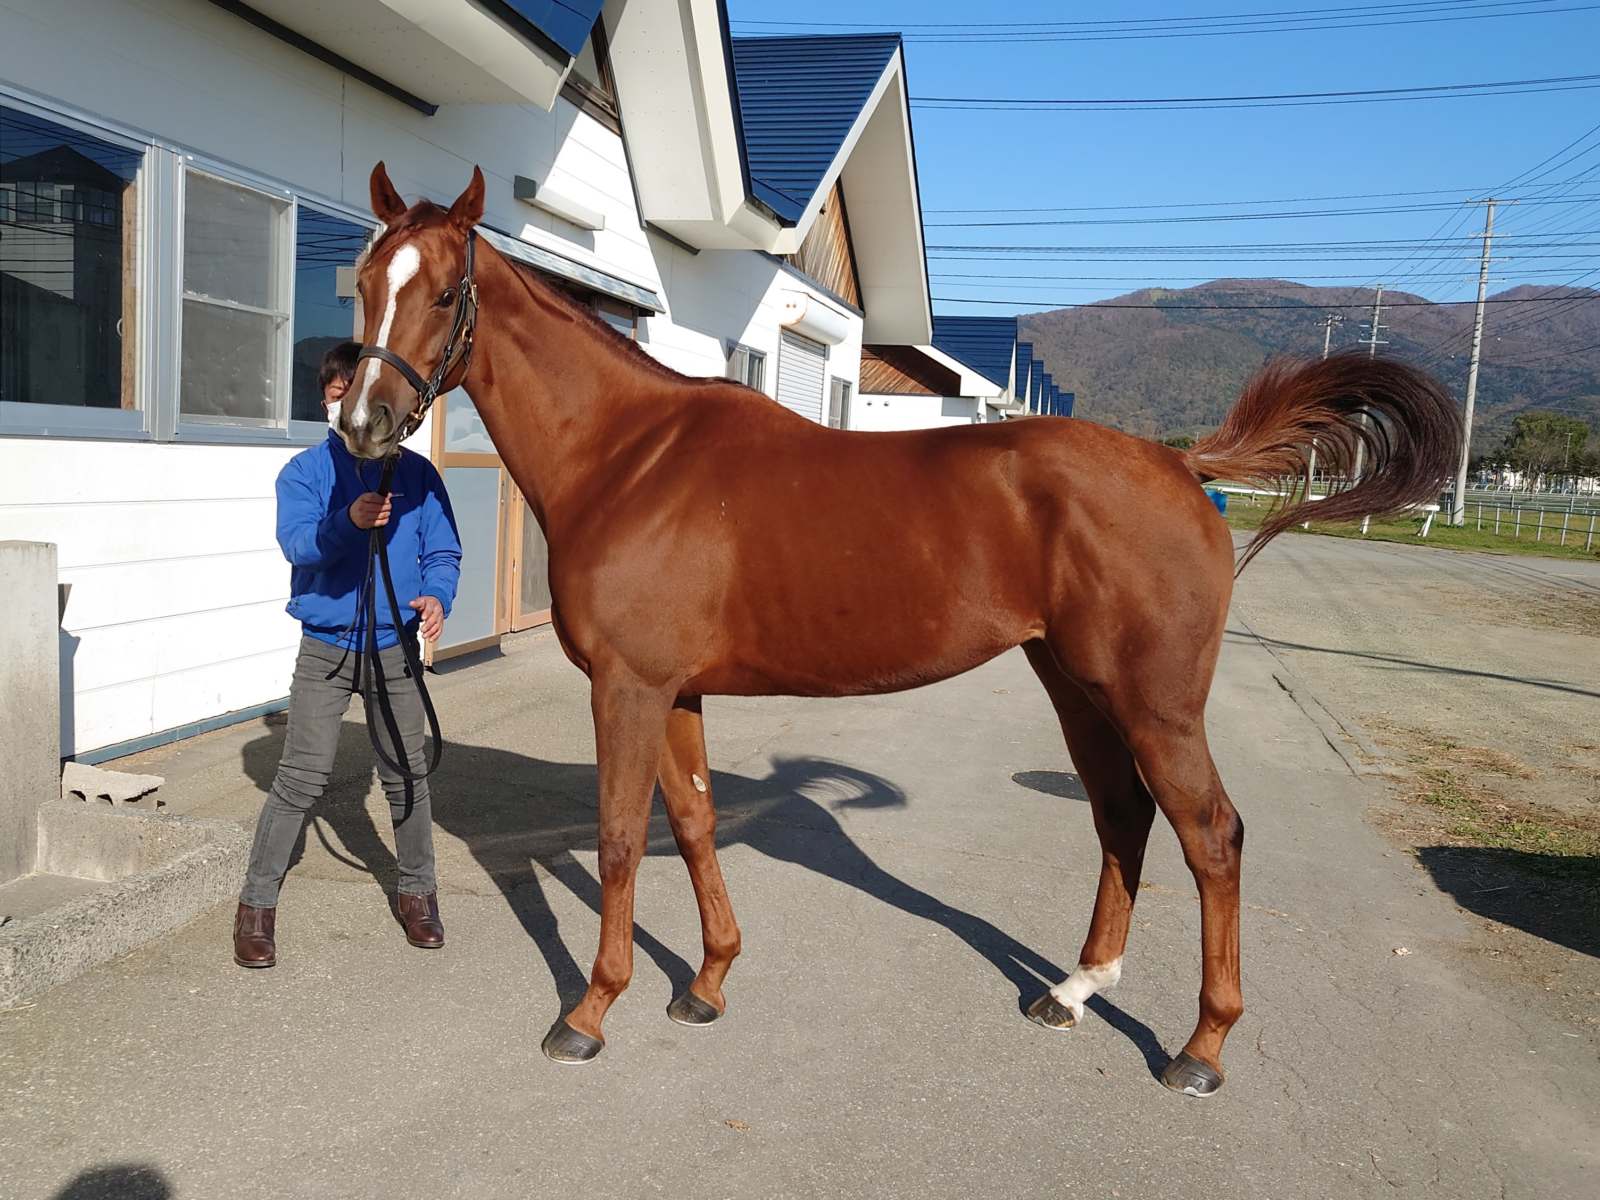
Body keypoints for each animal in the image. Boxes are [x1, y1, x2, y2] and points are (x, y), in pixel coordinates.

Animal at [340, 167, 1465, 1100]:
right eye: (361, 280)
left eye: (442, 293)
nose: (363, 423)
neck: (630, 456)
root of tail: (1181, 464)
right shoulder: (675, 690)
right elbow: (693, 821)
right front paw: (706, 982)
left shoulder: (627, 685)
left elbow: (621, 839)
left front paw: (588, 1012)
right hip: (1076, 686)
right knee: (1121, 817)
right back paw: (1073, 991)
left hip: (1154, 700)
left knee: (1211, 837)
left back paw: (1200, 1047)